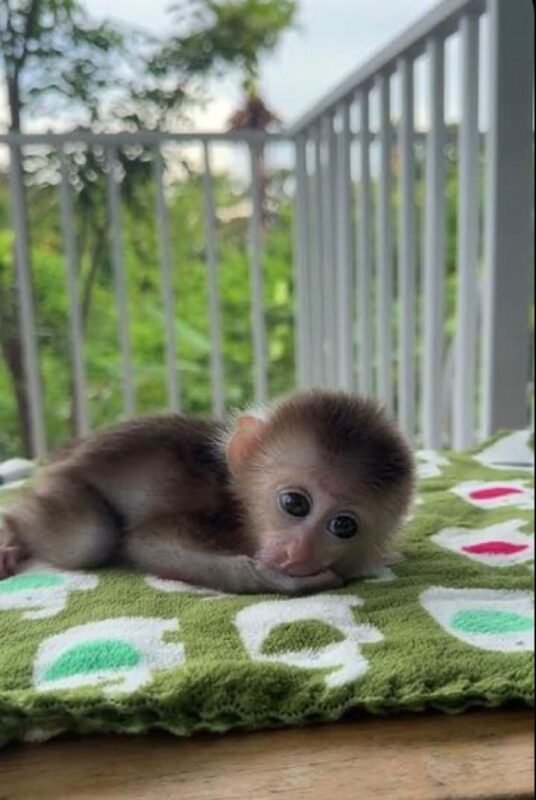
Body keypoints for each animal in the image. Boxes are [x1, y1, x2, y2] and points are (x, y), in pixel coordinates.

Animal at [0, 389, 415, 594]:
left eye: (343, 526)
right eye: (294, 504)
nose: (298, 552)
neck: (240, 509)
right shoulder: (212, 514)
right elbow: (145, 544)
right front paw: (275, 581)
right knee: (89, 537)